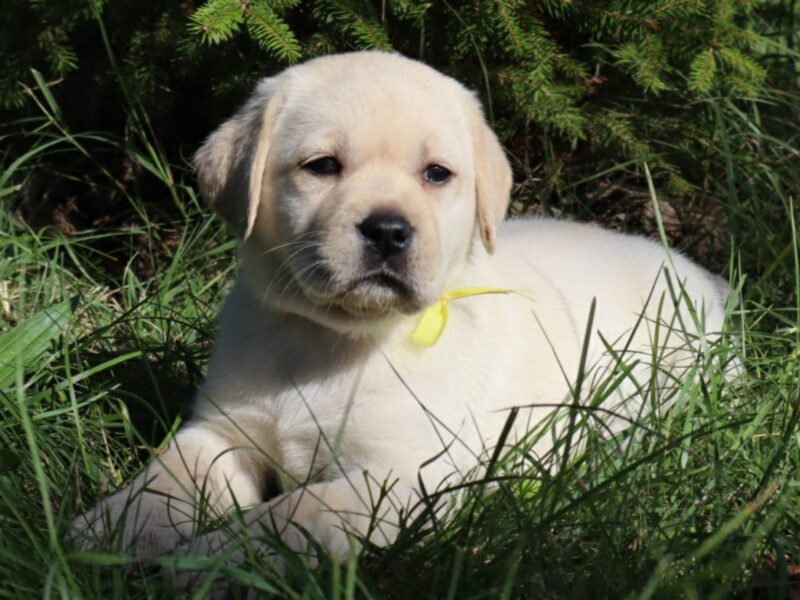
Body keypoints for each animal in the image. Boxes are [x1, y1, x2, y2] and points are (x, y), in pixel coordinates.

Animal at [73, 51, 732, 564]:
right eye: (323, 166)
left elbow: (290, 517)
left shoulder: (401, 477)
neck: (331, 340)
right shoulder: (222, 431)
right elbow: (163, 484)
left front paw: (208, 561)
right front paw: (98, 534)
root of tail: (699, 274)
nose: (388, 231)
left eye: (436, 174)